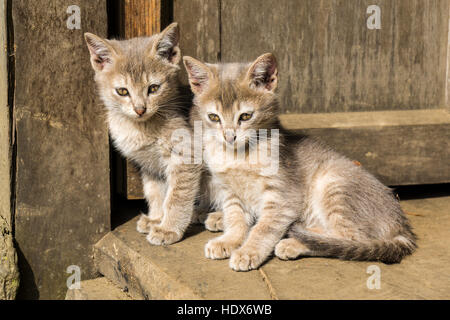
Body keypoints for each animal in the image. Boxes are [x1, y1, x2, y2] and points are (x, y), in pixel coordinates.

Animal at [84, 23, 206, 246]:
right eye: (123, 91)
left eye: (154, 88)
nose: (140, 109)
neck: (140, 129)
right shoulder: (150, 165)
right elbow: (156, 193)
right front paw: (156, 219)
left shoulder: (186, 156)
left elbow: (176, 196)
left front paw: (169, 228)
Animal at [182, 53, 414, 272]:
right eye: (214, 117)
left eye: (246, 116)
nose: (229, 137)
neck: (238, 156)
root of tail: (400, 223)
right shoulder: (231, 192)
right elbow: (236, 220)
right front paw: (229, 240)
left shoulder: (282, 198)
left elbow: (263, 229)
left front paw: (248, 251)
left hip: (333, 184)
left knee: (347, 239)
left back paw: (293, 243)